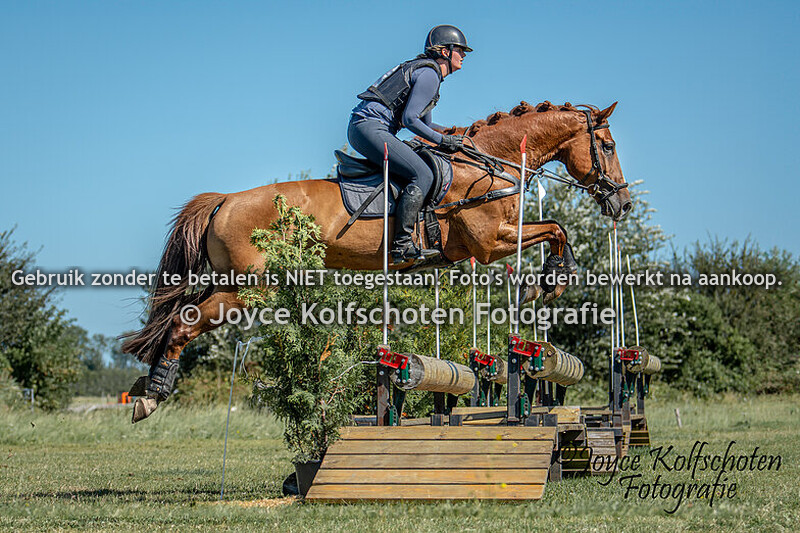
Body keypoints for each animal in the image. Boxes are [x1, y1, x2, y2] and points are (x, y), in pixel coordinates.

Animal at [123, 100, 631, 422]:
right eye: (607, 147)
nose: (622, 204)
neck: (488, 164)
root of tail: (225, 200)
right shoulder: (490, 243)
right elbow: (557, 228)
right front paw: (549, 281)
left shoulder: (485, 245)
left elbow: (555, 227)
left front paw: (546, 281)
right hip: (249, 288)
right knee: (183, 322)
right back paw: (152, 398)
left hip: (233, 282)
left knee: (179, 314)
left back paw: (148, 386)